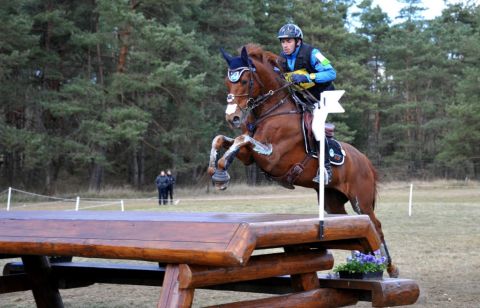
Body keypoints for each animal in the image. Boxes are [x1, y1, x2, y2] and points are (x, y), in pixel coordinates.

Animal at [208, 43, 400, 276]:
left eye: (245, 81)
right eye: (227, 81)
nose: (232, 118)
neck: (271, 110)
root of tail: (365, 161)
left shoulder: (272, 157)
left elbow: (241, 138)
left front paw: (220, 173)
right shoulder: (249, 156)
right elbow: (222, 140)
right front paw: (217, 171)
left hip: (360, 200)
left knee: (376, 226)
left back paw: (389, 267)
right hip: (333, 202)